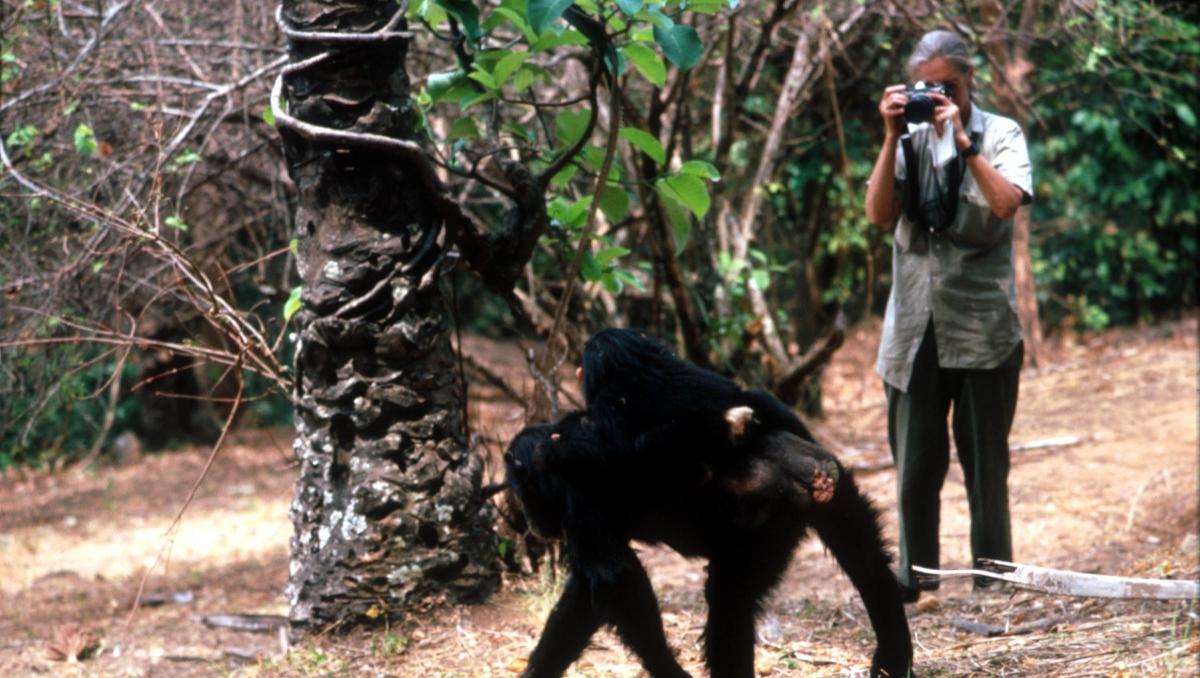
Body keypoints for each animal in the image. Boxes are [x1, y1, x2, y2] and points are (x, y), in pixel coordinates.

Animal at [504, 410, 907, 672]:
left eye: (519, 487)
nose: (526, 514)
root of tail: (808, 465)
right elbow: (586, 597)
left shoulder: (577, 497)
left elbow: (615, 576)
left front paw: (668, 671)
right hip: (825, 500)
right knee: (865, 559)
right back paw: (893, 649)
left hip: (766, 524)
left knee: (729, 599)